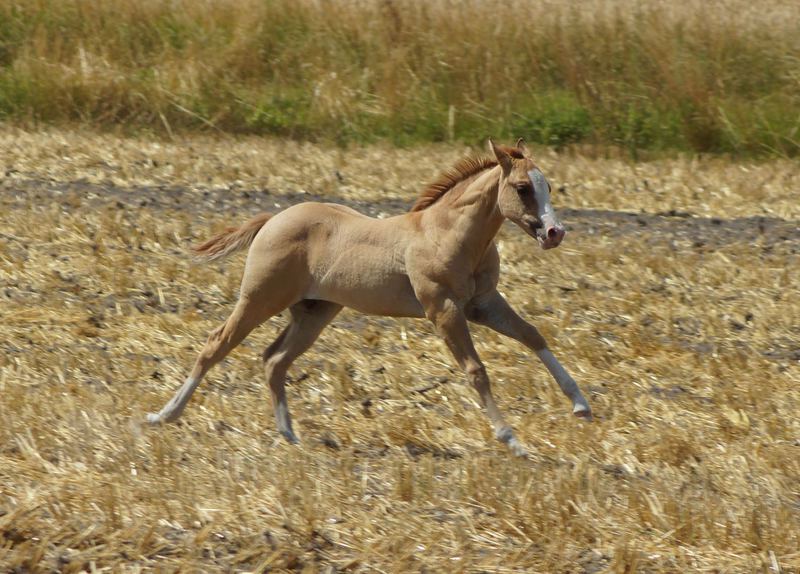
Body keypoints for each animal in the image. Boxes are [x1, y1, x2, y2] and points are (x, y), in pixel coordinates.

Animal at [146, 139, 592, 456]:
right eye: (522, 188)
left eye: (548, 186)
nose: (555, 233)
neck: (448, 233)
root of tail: (273, 219)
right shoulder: (443, 310)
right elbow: (476, 370)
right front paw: (511, 439)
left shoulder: (482, 304)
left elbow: (533, 336)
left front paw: (581, 405)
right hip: (259, 300)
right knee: (215, 345)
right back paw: (163, 416)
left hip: (314, 313)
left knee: (274, 360)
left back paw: (289, 435)